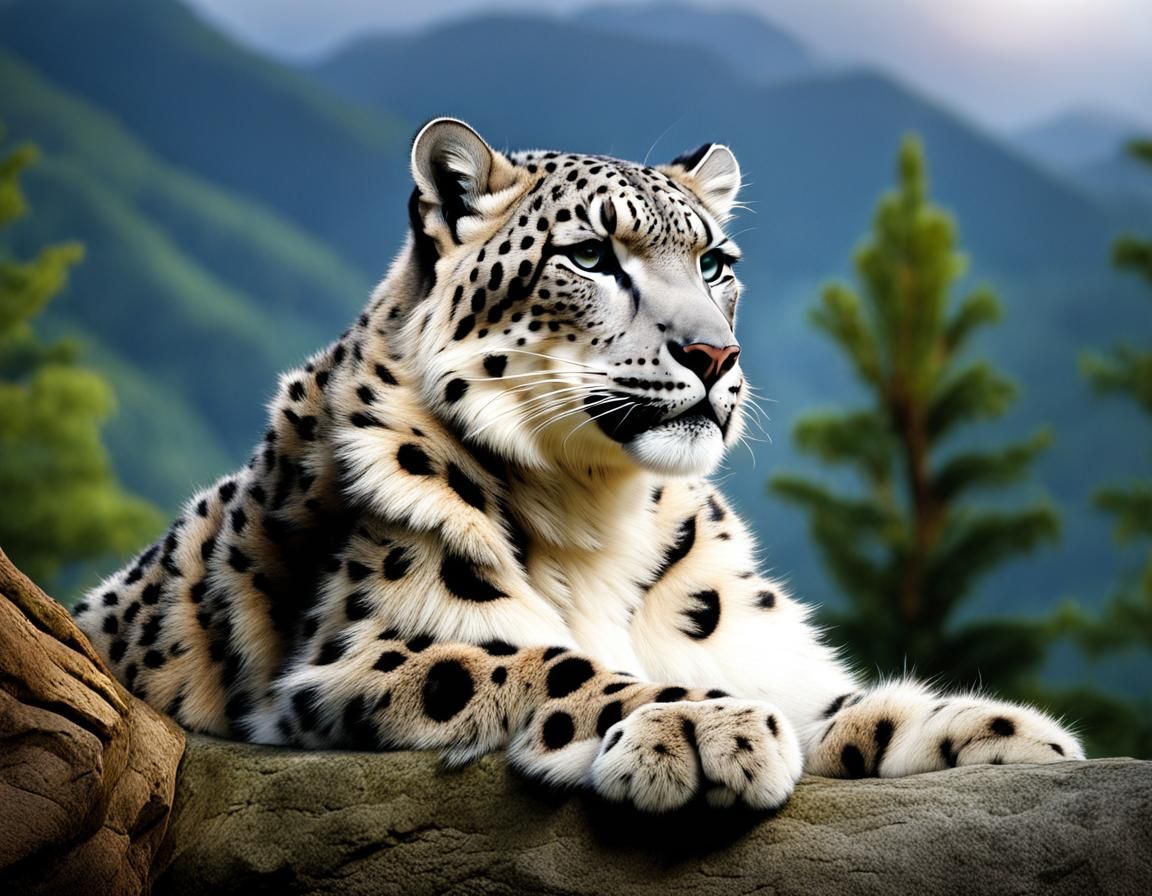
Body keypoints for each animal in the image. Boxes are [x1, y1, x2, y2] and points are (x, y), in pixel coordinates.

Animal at [73, 118, 1082, 812]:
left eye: (716, 262)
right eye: (592, 254)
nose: (715, 355)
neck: (607, 511)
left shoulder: (763, 655)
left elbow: (839, 707)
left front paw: (1011, 734)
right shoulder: (379, 650)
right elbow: (554, 667)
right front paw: (704, 724)